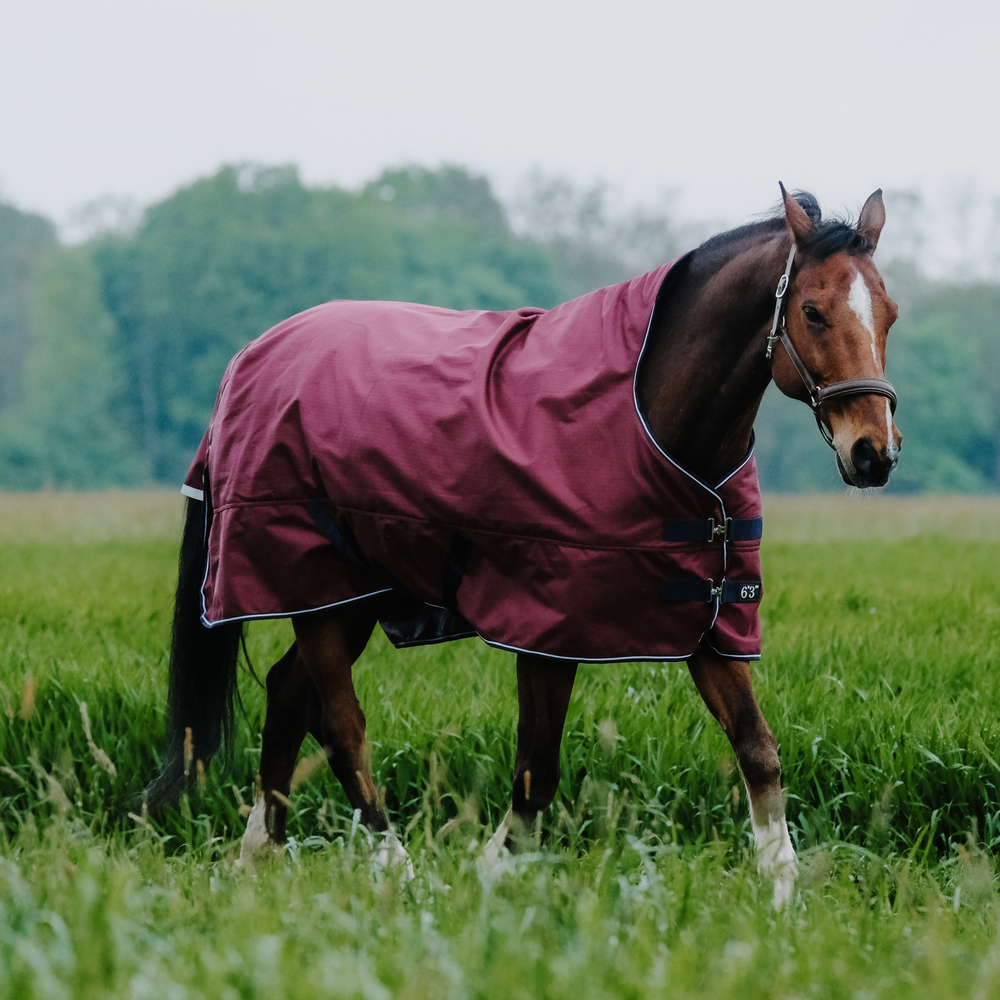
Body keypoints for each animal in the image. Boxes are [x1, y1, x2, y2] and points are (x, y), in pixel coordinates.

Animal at [145, 185, 900, 905]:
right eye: (813, 312)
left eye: (890, 312)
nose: (874, 453)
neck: (653, 422)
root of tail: (251, 357)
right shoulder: (547, 628)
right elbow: (537, 771)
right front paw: (487, 877)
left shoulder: (707, 617)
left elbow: (757, 749)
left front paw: (781, 892)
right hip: (319, 588)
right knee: (340, 727)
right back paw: (397, 869)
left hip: (346, 595)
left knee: (286, 697)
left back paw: (256, 860)